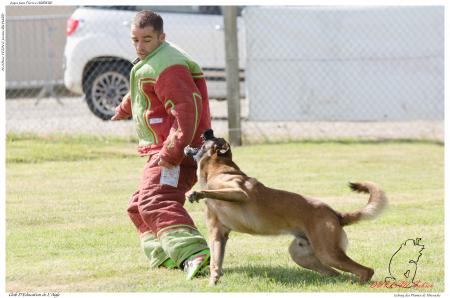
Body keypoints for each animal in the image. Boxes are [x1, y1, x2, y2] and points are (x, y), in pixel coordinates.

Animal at [183, 129, 386, 286]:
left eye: (213, 137)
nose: (208, 130)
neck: (218, 171)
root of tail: (336, 214)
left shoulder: (240, 193)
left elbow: (210, 191)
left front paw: (196, 193)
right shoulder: (219, 235)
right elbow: (216, 264)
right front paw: (212, 284)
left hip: (328, 252)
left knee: (365, 270)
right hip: (303, 255)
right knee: (336, 273)